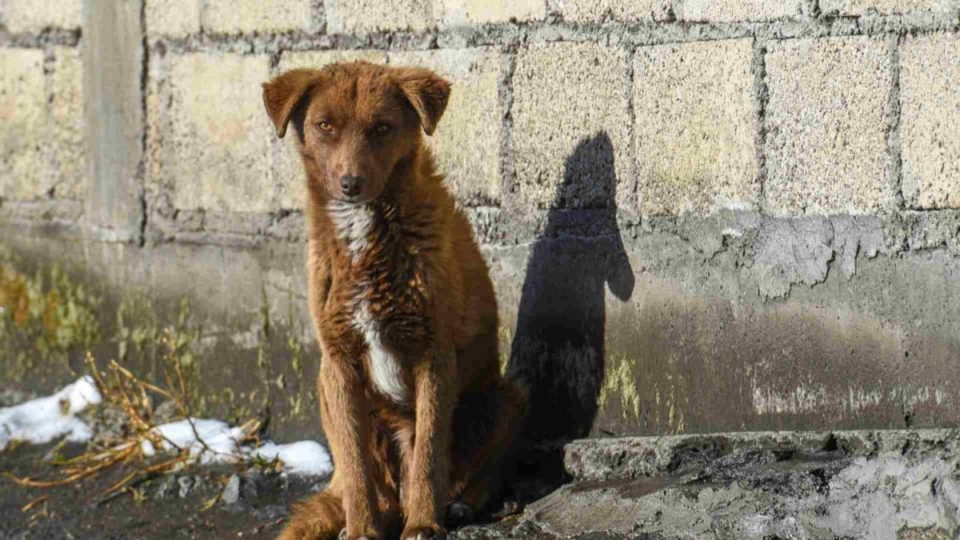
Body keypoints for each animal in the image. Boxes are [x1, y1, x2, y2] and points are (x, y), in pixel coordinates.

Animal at [264, 63, 524, 540]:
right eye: (324, 126)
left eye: (382, 127)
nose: (350, 184)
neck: (365, 230)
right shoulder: (340, 363)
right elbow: (355, 464)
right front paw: (362, 529)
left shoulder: (433, 356)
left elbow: (428, 456)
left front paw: (423, 522)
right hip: (327, 391)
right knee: (367, 485)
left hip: (504, 399)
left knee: (472, 469)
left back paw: (466, 504)